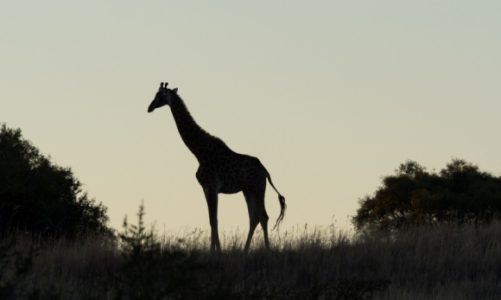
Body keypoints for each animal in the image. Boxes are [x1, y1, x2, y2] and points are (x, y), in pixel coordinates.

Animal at [146, 81, 284, 252]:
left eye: (160, 95)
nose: (149, 107)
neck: (199, 152)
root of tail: (265, 170)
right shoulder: (206, 188)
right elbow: (212, 219)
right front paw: (215, 249)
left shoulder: (212, 187)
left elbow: (214, 219)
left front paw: (216, 251)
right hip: (248, 190)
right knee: (254, 217)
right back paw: (245, 250)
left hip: (257, 188)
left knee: (263, 216)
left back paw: (266, 249)